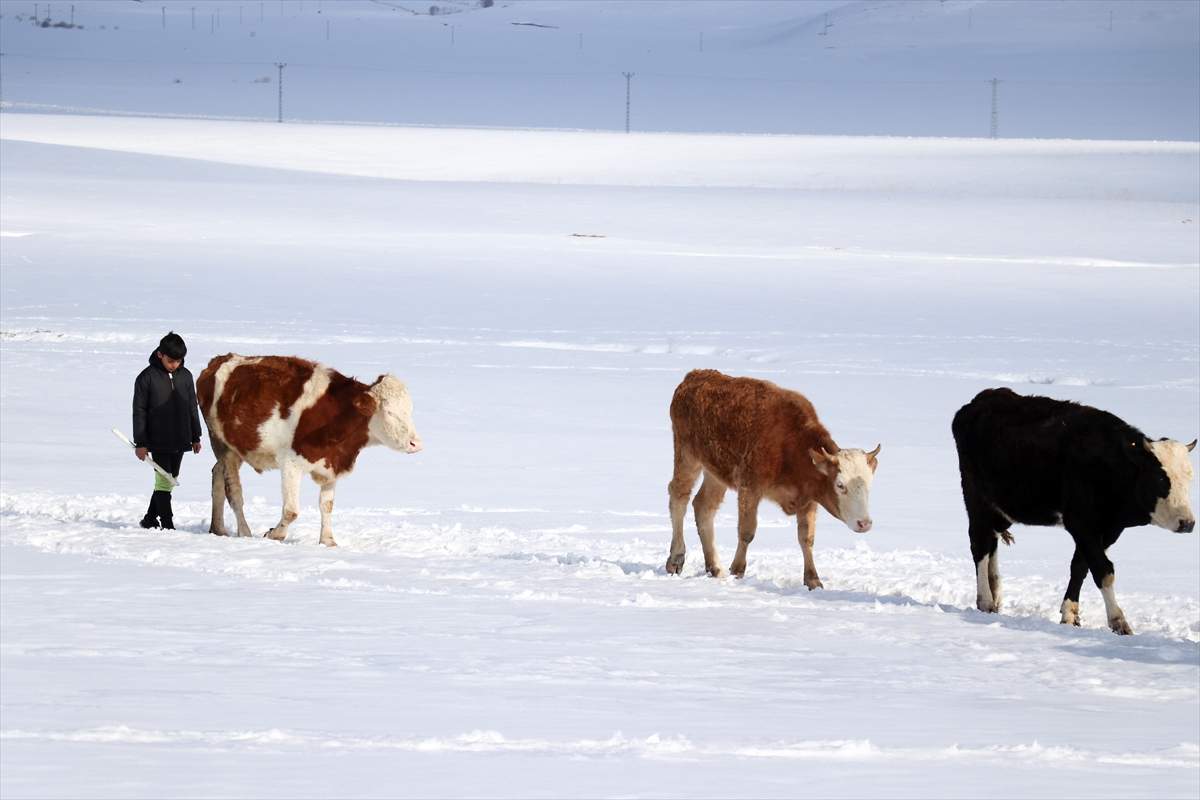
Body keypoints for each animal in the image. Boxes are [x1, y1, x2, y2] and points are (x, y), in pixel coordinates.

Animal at [196, 355, 422, 546]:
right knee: (234, 491)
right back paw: (244, 532)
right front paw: (274, 534)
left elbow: (326, 505)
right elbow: (291, 510)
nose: (416, 443)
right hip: (221, 444)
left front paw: (328, 541)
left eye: (409, 410)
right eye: (389, 412)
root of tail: (219, 360)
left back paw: (218, 528)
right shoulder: (290, 464)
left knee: (217, 475)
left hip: (236, 448)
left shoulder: (332, 465)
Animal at [667, 371, 883, 587]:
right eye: (840, 485)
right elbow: (747, 531)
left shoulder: (808, 499)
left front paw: (813, 580)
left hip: (715, 475)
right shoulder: (750, 488)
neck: (790, 445)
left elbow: (807, 538)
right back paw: (676, 560)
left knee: (704, 506)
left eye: (869, 485)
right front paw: (737, 571)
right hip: (687, 458)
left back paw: (715, 568)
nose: (865, 523)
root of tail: (695, 375)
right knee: (679, 497)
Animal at [950, 388, 1195, 638]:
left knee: (992, 542)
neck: (1113, 466)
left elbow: (1079, 568)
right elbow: (1103, 571)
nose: (1187, 523)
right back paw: (986, 600)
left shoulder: (1107, 530)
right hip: (976, 499)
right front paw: (1118, 621)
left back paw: (996, 592)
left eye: (1190, 478)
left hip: (1004, 509)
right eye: (1160, 477)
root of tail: (977, 402)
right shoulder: (1080, 523)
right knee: (980, 544)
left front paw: (1070, 614)